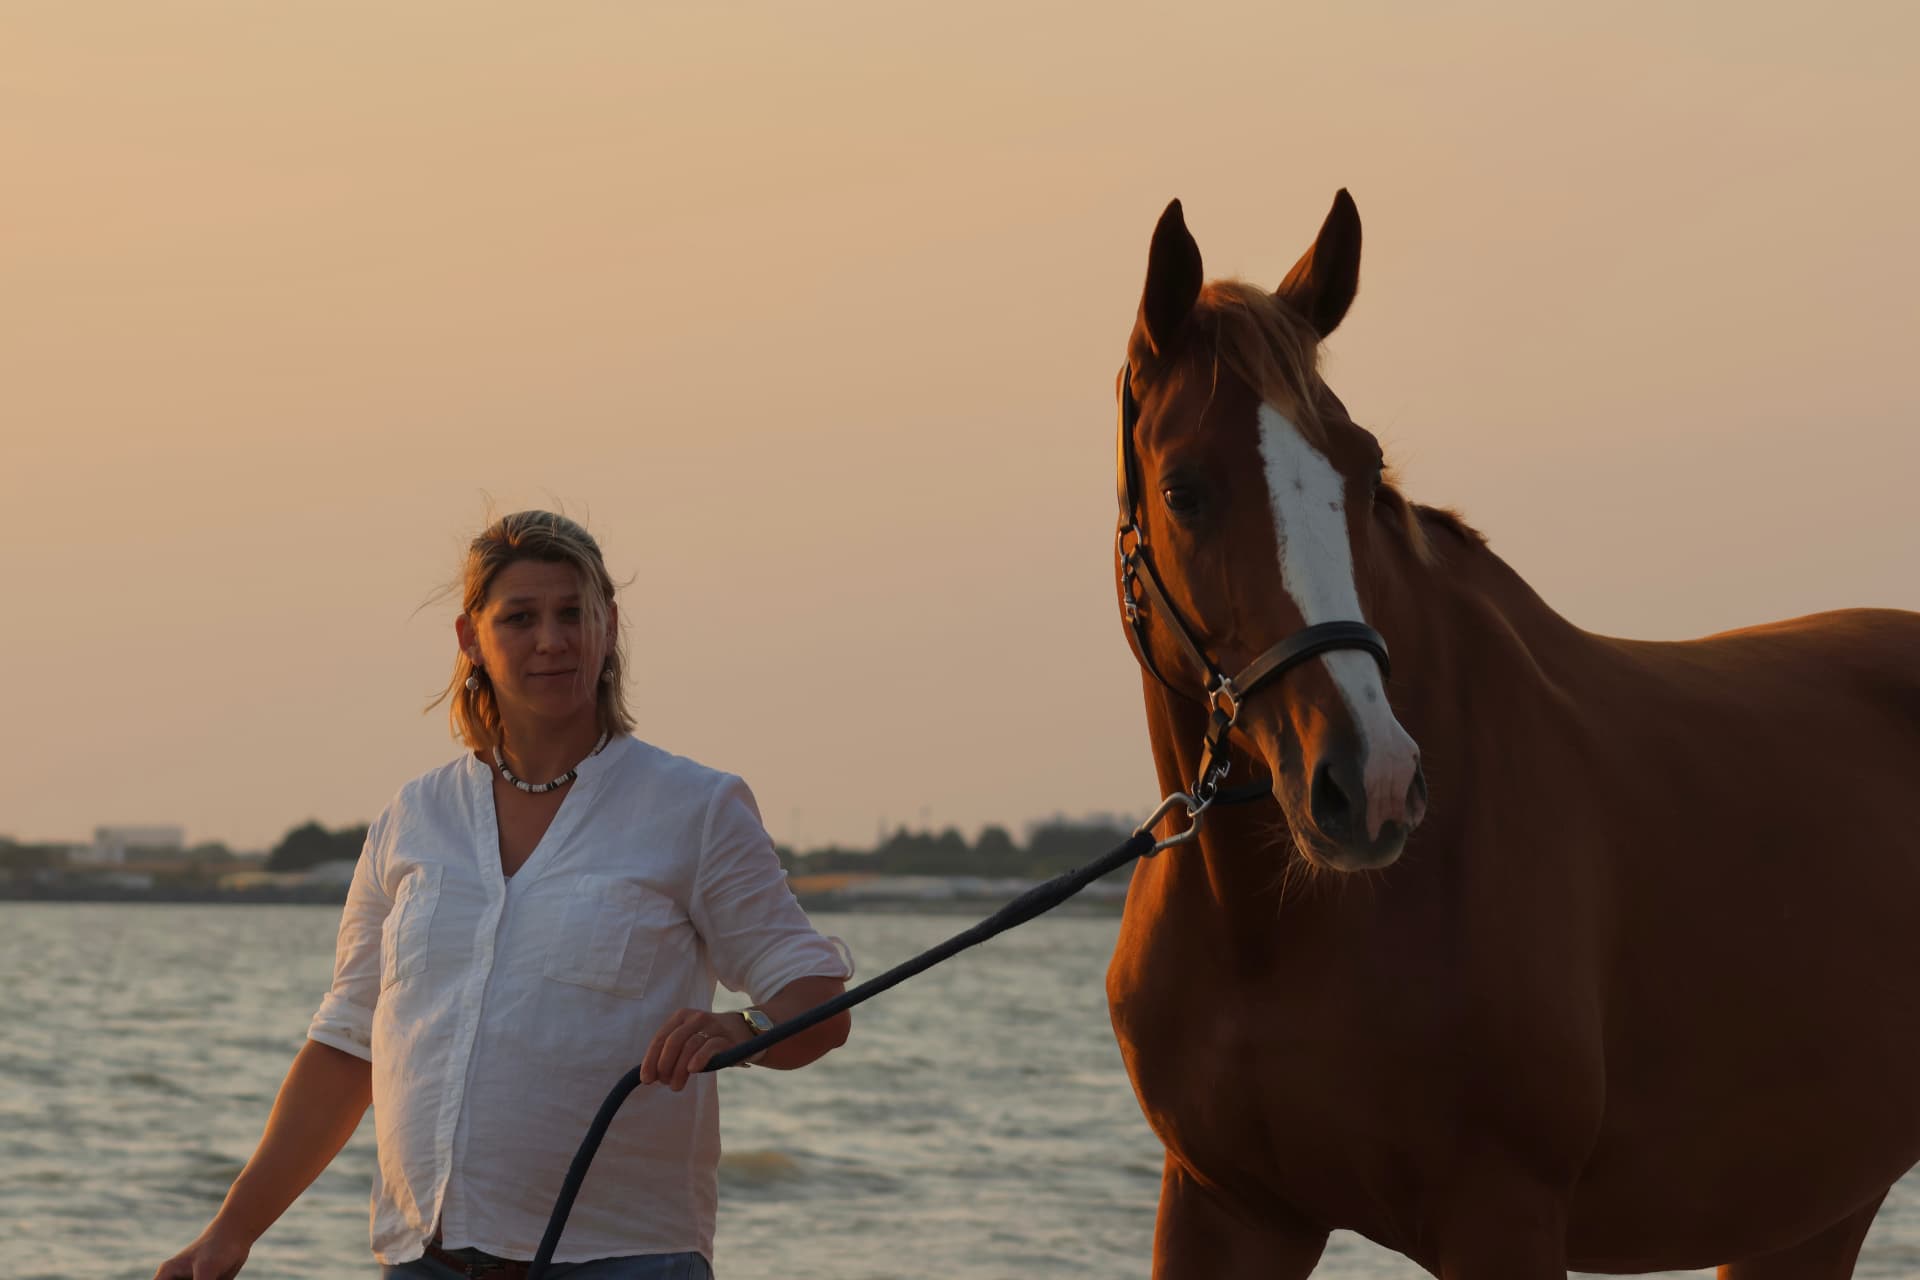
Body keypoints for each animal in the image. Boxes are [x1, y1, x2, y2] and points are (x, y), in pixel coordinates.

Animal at [1103, 191, 1920, 1279]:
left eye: (1366, 471)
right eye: (1184, 488)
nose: (1372, 783)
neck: (1272, 932)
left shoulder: (1503, 1212)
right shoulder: (1225, 1208)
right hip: (1810, 1208)